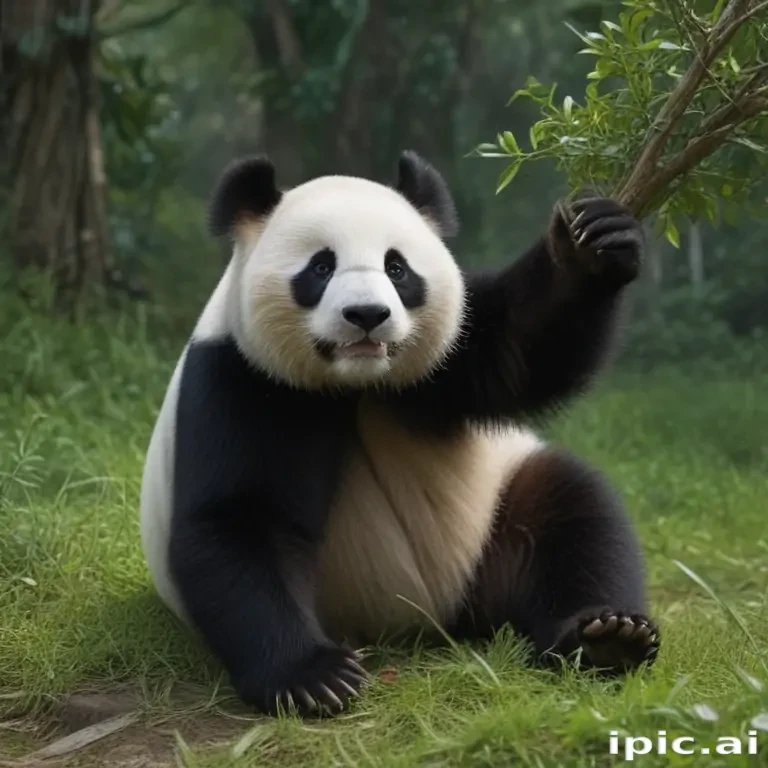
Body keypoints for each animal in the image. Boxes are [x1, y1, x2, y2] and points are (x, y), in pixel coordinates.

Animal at [139, 150, 660, 717]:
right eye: (321, 267)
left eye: (397, 268)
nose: (367, 315)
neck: (357, 382)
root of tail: (438, 619)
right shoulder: (242, 378)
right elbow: (241, 518)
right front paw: (314, 677)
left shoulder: (451, 357)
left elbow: (520, 347)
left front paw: (594, 242)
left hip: (491, 521)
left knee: (572, 513)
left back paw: (606, 636)